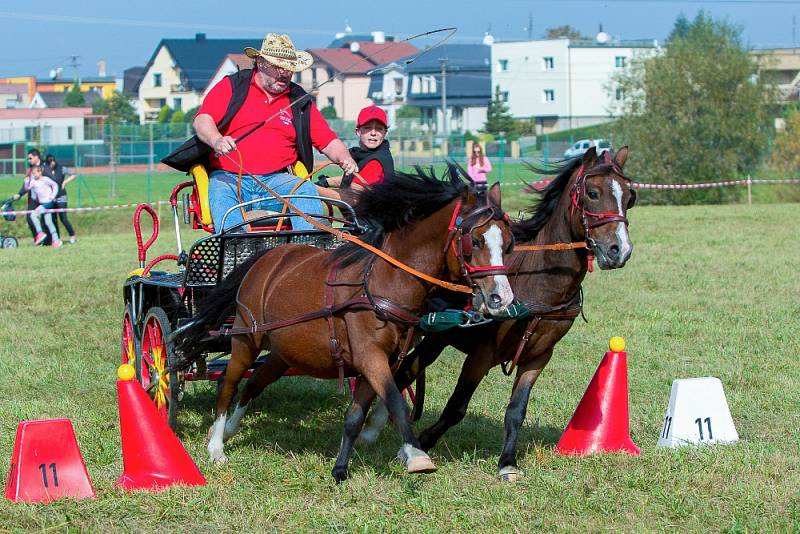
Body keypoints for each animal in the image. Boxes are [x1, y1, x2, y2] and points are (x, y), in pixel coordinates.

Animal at [172, 165, 516, 484]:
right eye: (475, 241)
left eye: (509, 243)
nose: (502, 297)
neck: (382, 282)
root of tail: (266, 256)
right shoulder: (371, 357)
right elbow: (395, 402)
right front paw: (416, 455)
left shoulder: (380, 362)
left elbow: (355, 415)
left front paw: (340, 468)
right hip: (246, 340)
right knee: (229, 384)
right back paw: (216, 446)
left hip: (285, 351)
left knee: (254, 382)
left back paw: (230, 429)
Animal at [360, 146, 636, 482]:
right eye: (593, 193)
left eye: (630, 196)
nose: (619, 250)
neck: (537, 280)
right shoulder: (482, 353)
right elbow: (456, 407)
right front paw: (421, 443)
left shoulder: (539, 356)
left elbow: (517, 410)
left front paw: (507, 462)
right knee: (402, 372)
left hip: (435, 337)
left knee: (407, 370)